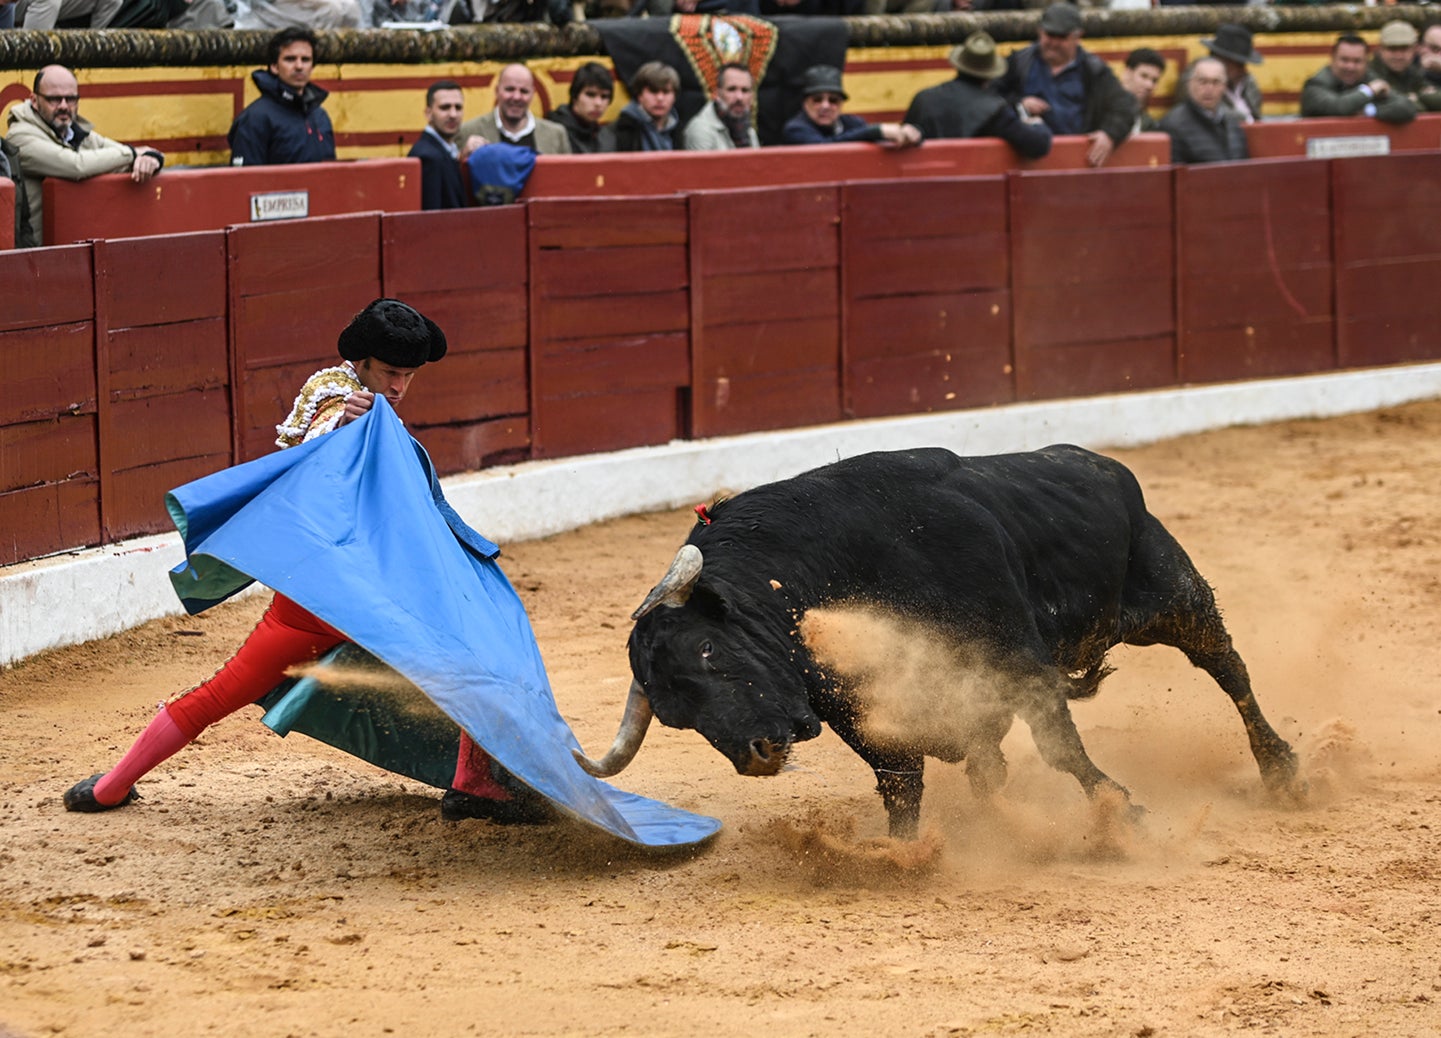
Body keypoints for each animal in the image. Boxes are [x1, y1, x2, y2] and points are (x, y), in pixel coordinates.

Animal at [576, 444, 1308, 836]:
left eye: (709, 651)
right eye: (676, 717)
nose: (755, 756)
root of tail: (1100, 464)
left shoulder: (1015, 660)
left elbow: (1060, 748)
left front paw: (1118, 810)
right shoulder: (857, 705)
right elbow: (900, 780)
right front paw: (902, 853)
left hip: (1176, 597)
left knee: (1229, 671)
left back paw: (1282, 770)